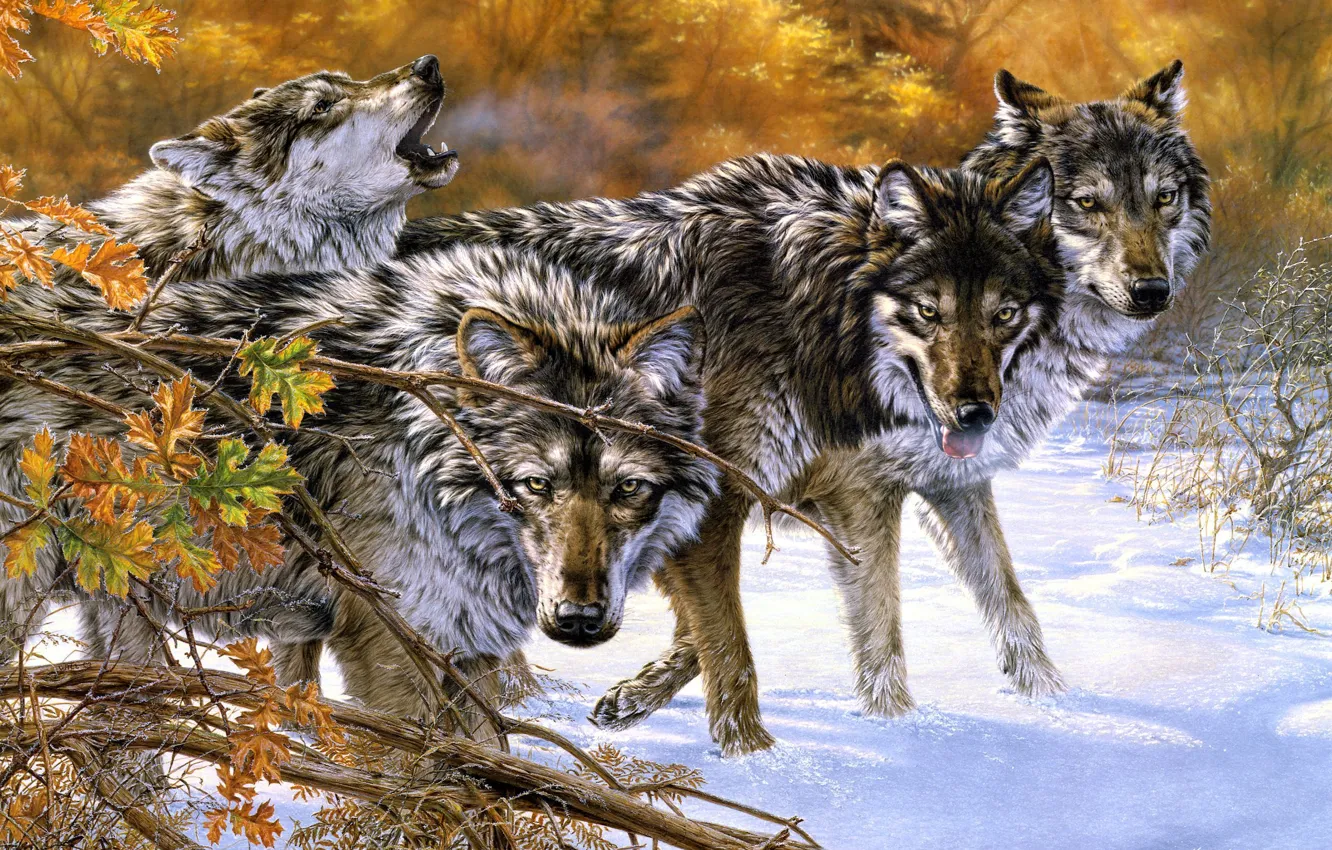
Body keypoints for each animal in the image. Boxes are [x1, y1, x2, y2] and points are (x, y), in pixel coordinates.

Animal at [397, 153, 1064, 753]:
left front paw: (1050, 701)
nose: (976, 414)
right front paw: (756, 757)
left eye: (1004, 314)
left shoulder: (918, 488)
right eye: (929, 312)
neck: (806, 314)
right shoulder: (726, 501)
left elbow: (1007, 601)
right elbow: (735, 642)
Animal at [556, 61, 1212, 734]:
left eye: (1164, 198)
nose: (1153, 290)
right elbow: (871, 624)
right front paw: (895, 727)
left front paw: (1055, 705)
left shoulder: (952, 482)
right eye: (1086, 203)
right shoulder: (843, 495)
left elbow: (1009, 603)